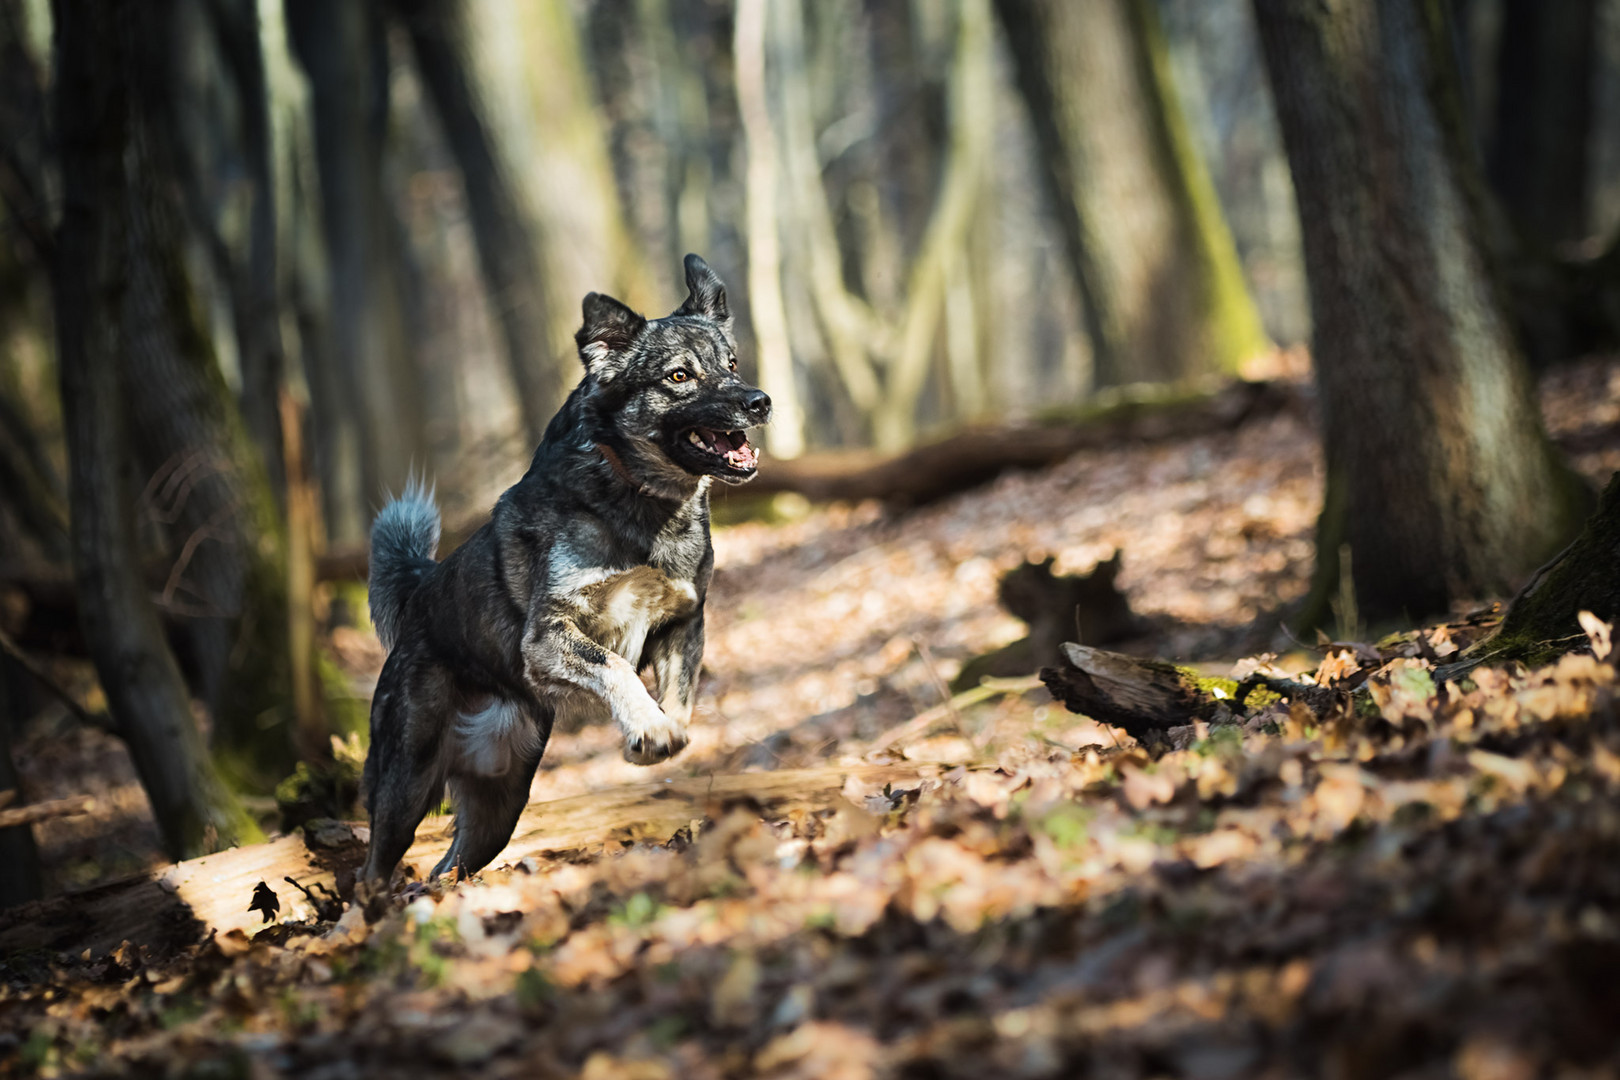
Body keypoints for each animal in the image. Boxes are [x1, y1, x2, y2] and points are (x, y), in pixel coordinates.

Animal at [359, 255, 771, 887]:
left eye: (731, 364)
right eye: (679, 376)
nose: (760, 401)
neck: (638, 500)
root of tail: (419, 597)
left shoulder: (683, 623)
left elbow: (681, 698)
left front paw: (660, 734)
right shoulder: (549, 636)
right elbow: (615, 667)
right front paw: (648, 729)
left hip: (501, 802)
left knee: (447, 866)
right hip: (406, 783)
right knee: (373, 869)